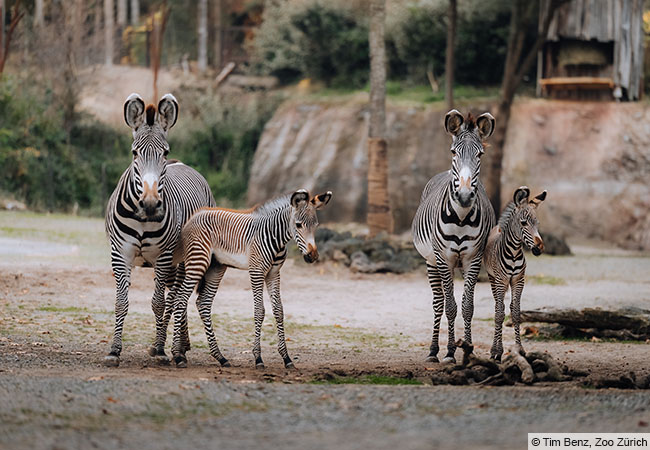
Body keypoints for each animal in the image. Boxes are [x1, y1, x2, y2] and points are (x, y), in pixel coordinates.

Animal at [104, 93, 216, 367]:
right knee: (177, 296)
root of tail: (182, 164)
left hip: (185, 257)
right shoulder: (120, 253)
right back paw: (179, 345)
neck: (144, 218)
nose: (151, 203)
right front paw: (114, 350)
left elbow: (158, 303)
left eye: (165, 152)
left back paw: (175, 348)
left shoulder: (163, 257)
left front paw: (162, 349)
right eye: (134, 153)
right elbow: (121, 302)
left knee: (177, 297)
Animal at [169, 189, 332, 368]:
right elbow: (259, 311)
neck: (276, 238)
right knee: (180, 299)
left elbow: (279, 310)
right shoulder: (256, 271)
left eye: (316, 226)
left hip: (216, 266)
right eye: (298, 225)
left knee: (203, 302)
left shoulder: (274, 273)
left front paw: (286, 358)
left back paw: (220, 357)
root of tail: (194, 216)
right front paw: (258, 358)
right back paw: (177, 356)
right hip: (198, 262)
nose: (312, 256)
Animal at [412, 110, 496, 363]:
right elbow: (450, 306)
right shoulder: (444, 259)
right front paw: (449, 352)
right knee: (438, 303)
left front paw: (468, 349)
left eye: (480, 154)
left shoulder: (473, 259)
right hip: (430, 262)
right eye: (453, 152)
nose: (465, 196)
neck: (460, 217)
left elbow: (467, 306)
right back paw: (433, 351)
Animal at [484, 186, 546, 360]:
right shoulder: (500, 280)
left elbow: (517, 313)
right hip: (493, 279)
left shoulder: (519, 280)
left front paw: (520, 349)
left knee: (507, 306)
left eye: (538, 223)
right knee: (498, 307)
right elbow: (499, 314)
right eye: (523, 223)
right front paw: (497, 351)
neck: (513, 253)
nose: (539, 249)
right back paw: (495, 348)